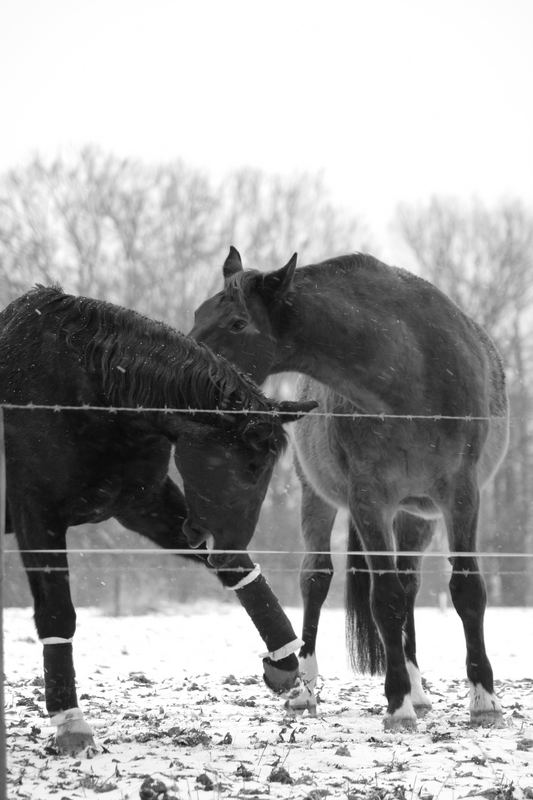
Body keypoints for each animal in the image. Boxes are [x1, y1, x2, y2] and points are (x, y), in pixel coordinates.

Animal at [1, 288, 316, 756]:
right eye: (251, 464)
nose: (226, 543)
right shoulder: (37, 517)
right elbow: (57, 614)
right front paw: (71, 725)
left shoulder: (143, 504)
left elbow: (240, 573)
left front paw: (287, 665)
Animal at [190, 248, 508, 732]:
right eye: (199, 313)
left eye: (238, 323)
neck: (408, 376)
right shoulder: (368, 500)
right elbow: (385, 598)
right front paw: (397, 705)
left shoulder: (461, 495)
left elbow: (465, 590)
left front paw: (483, 701)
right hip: (318, 498)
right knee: (317, 580)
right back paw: (307, 690)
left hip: (416, 514)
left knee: (410, 582)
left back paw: (419, 690)